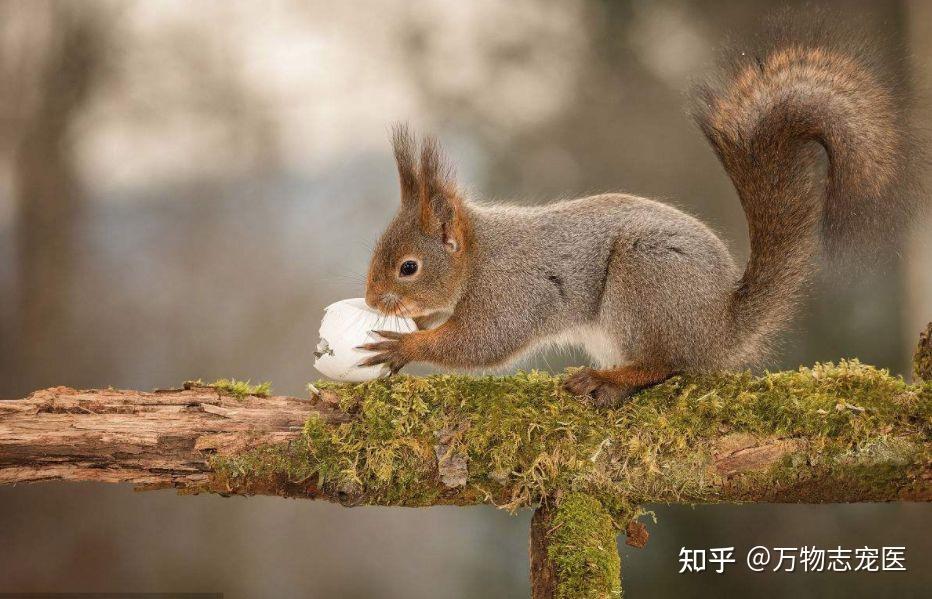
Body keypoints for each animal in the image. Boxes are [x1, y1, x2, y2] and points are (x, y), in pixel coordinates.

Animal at [356, 22, 916, 408]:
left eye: (408, 267)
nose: (373, 299)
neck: (477, 258)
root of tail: (718, 329)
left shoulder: (510, 291)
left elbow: (481, 343)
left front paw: (405, 345)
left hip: (644, 279)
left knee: (665, 364)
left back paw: (609, 379)